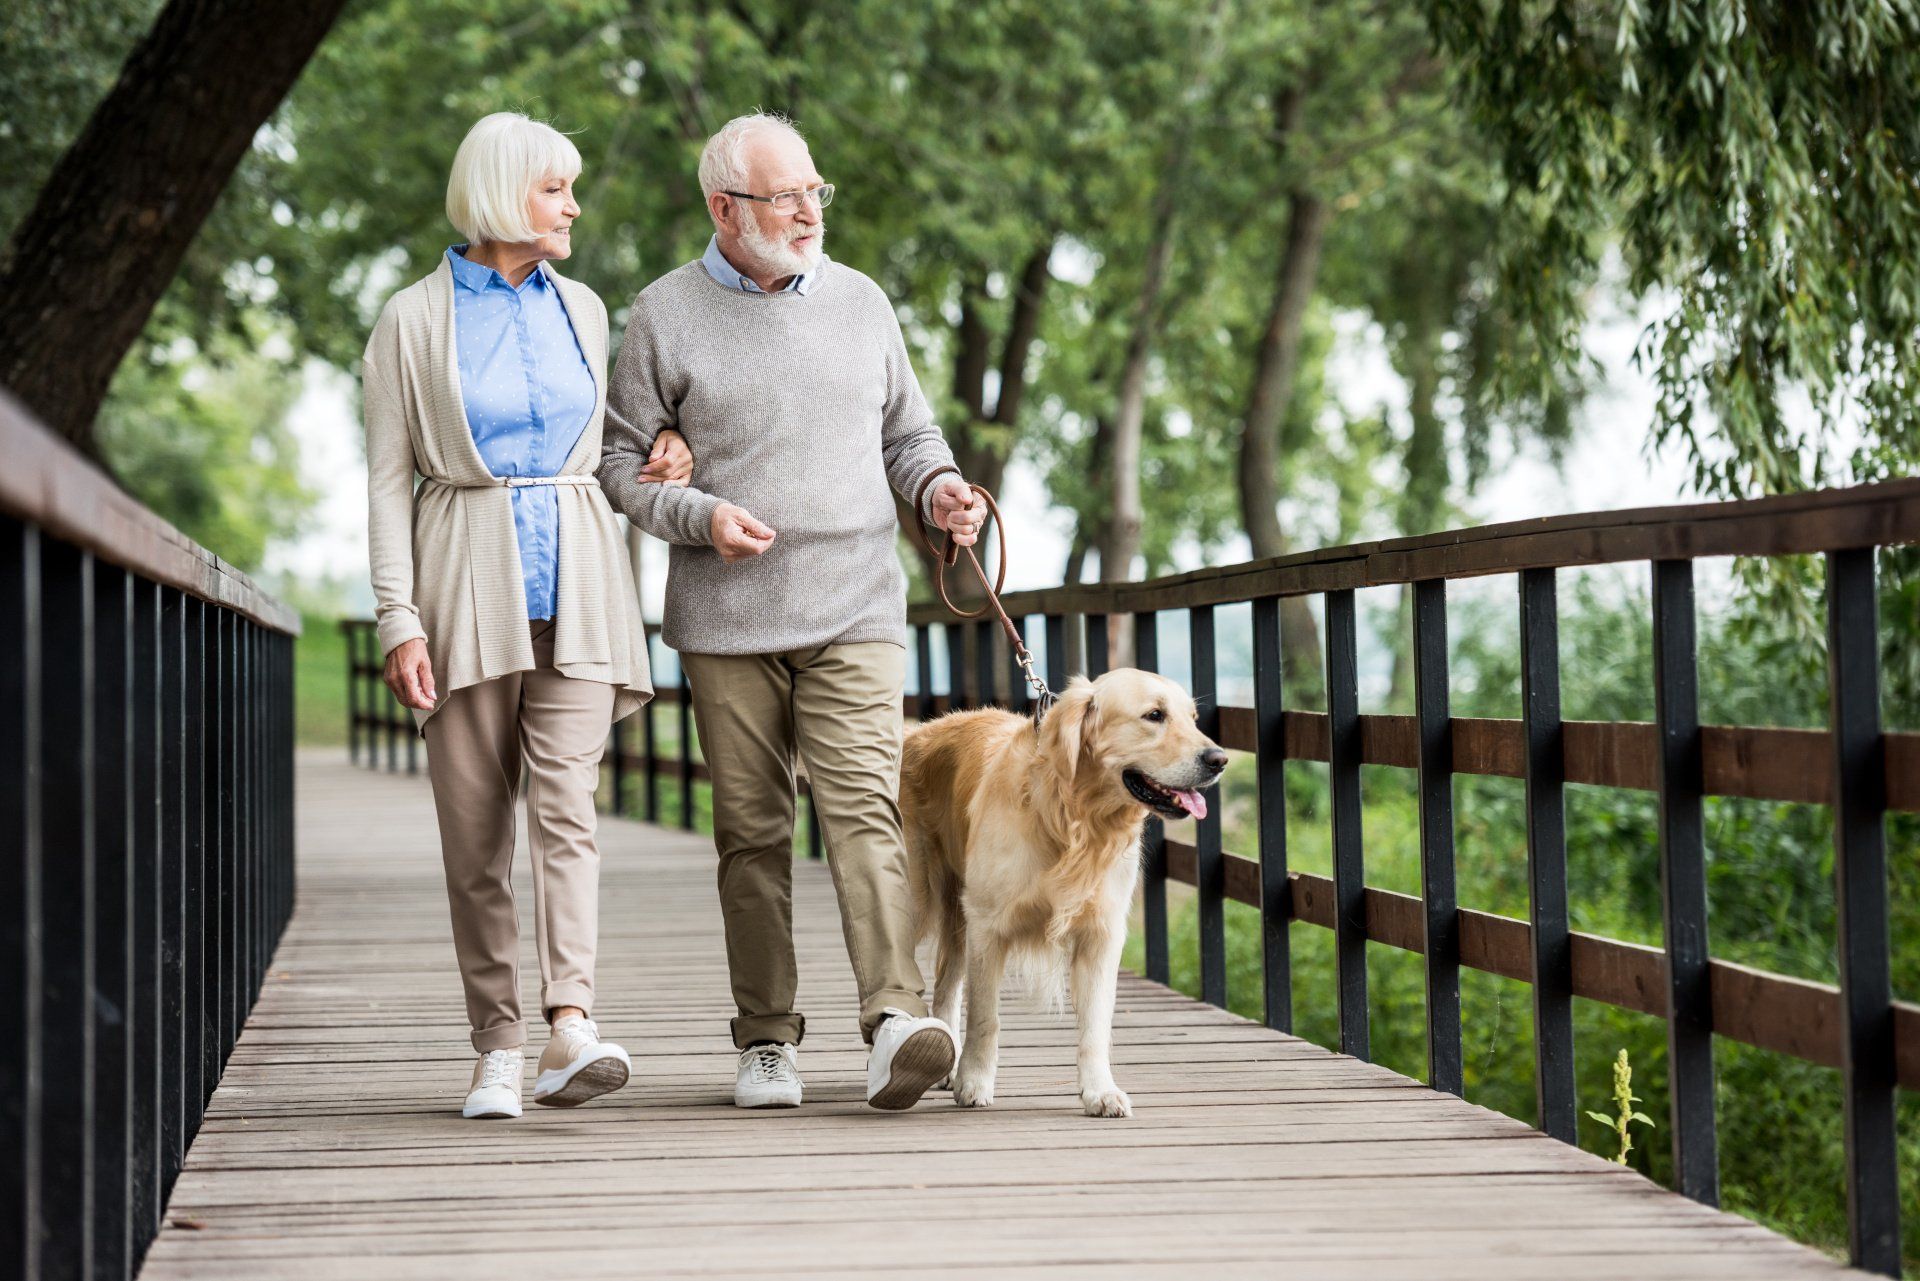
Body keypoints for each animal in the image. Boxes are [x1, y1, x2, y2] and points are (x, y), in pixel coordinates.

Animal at [902, 668, 1228, 1113]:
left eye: (1193, 719)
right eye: (1154, 715)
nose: (1219, 760)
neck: (1074, 819)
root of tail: (918, 732)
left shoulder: (1102, 935)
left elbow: (1095, 1026)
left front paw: (1099, 1091)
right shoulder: (988, 925)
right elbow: (986, 1017)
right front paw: (975, 1082)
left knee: (947, 982)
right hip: (919, 899)